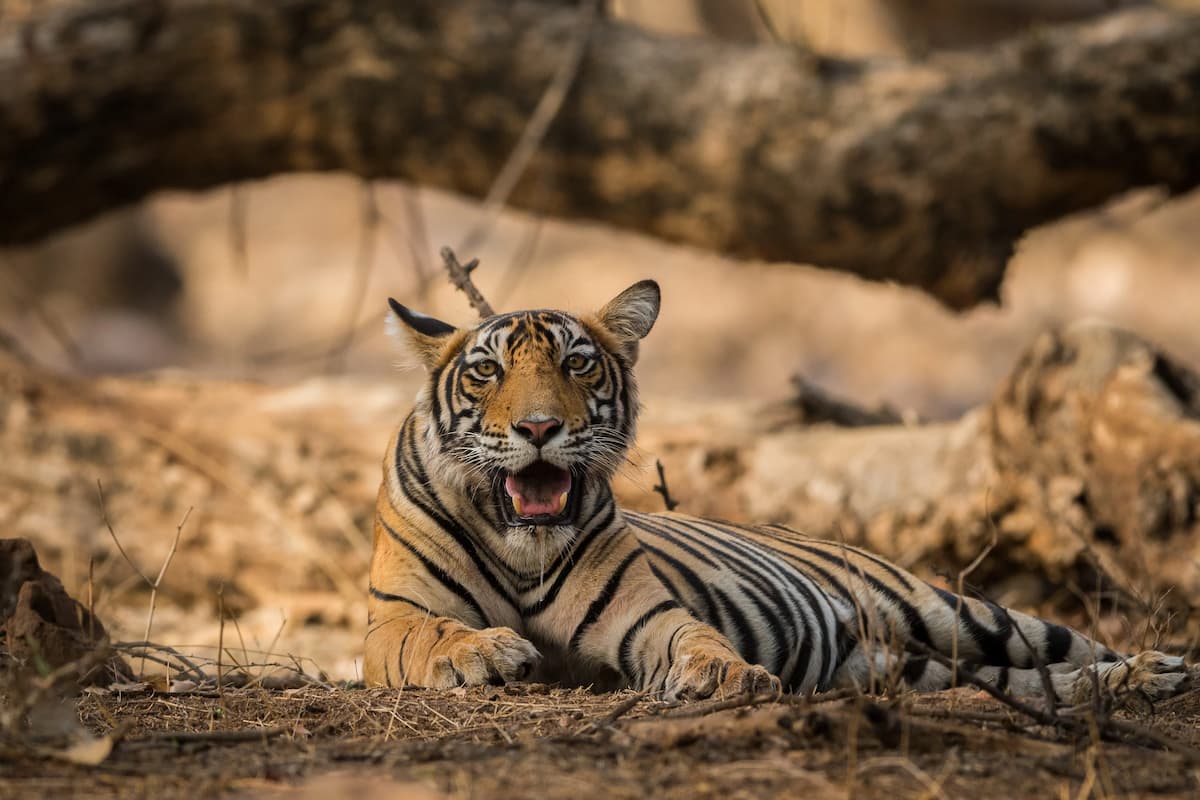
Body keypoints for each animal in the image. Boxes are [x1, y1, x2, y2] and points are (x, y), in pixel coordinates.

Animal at [364, 280, 1190, 703]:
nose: (539, 428)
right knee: (1025, 682)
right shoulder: (390, 623)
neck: (522, 547)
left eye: (577, 364)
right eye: (487, 371)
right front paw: (485, 653)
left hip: (957, 611)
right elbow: (430, 634)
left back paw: (1158, 672)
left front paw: (724, 675)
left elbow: (695, 636)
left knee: (1067, 647)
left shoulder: (646, 616)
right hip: (918, 663)